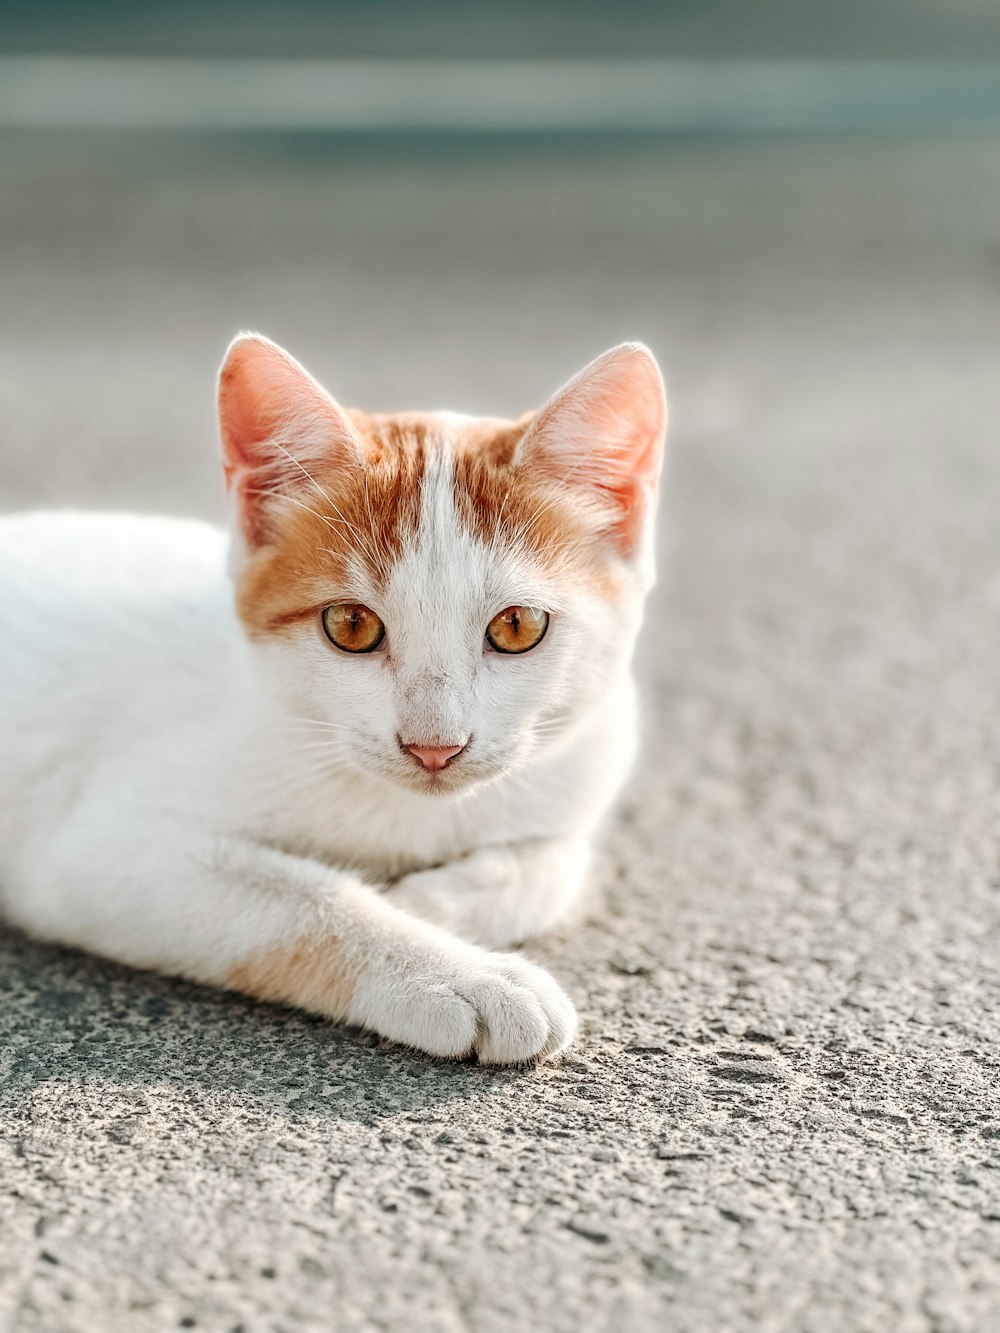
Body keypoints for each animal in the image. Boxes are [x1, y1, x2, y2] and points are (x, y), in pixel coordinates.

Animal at [1, 333, 674, 1061]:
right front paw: (456, 971)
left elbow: (551, 865)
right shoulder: (100, 854)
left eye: (517, 626)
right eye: (351, 626)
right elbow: (301, 901)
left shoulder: (581, 767)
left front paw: (427, 903)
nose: (434, 746)